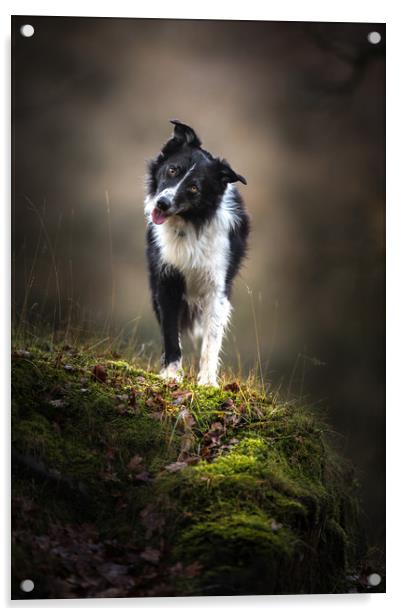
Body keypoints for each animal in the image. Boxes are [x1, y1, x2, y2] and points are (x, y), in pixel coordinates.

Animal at [145, 121, 249, 384]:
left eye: (193, 188)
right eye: (172, 170)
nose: (162, 204)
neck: (189, 223)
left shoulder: (217, 287)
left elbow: (211, 339)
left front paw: (208, 382)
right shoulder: (166, 279)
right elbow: (171, 333)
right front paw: (171, 374)